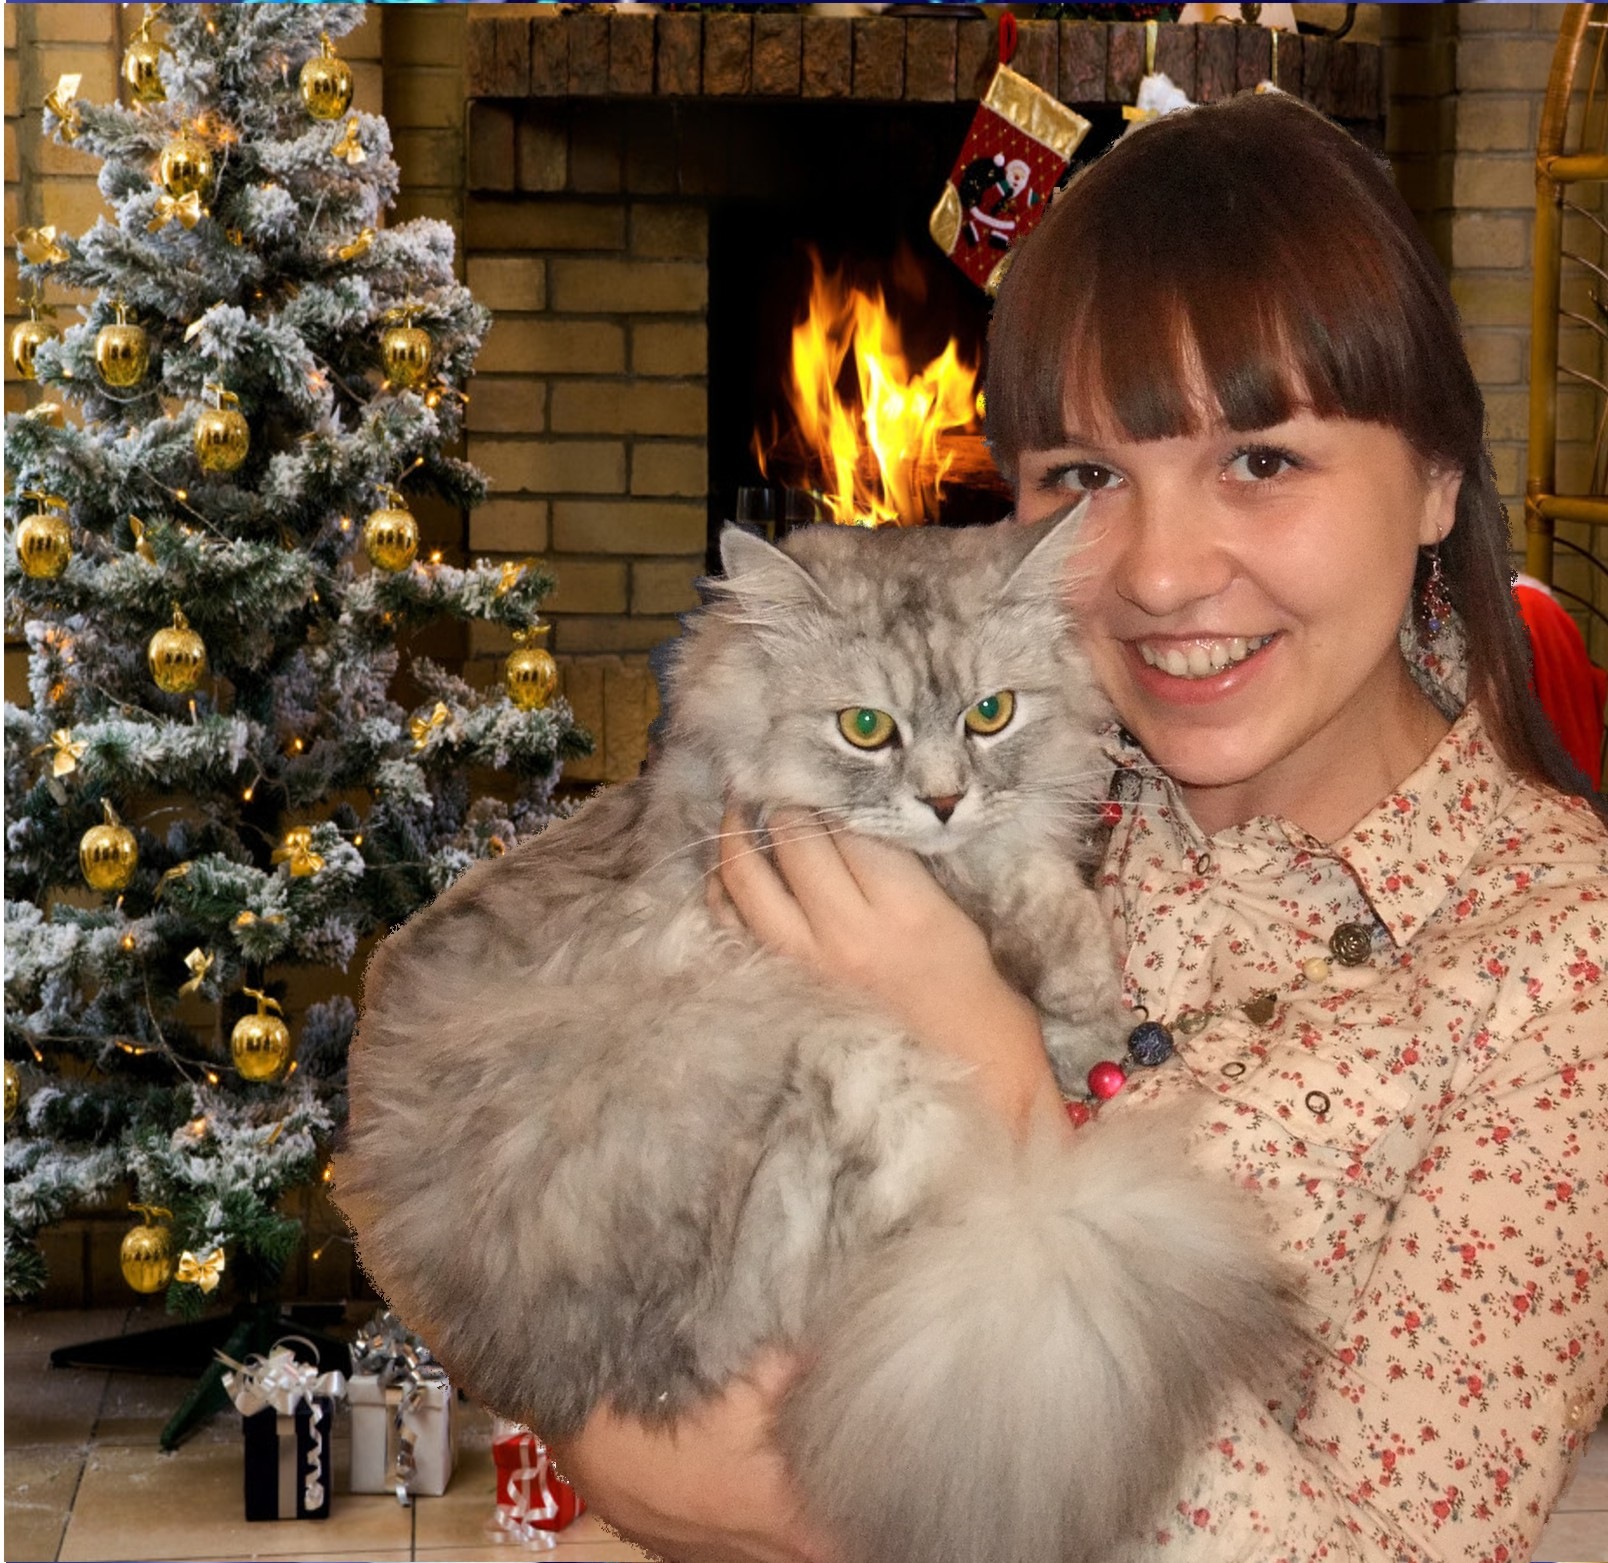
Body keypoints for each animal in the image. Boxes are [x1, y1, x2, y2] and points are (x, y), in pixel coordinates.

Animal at [334, 513, 1301, 1563]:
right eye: (865, 729)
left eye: (992, 713)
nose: (944, 799)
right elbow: (1025, 890)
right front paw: (1086, 985)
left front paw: (1091, 1026)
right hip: (846, 1070)